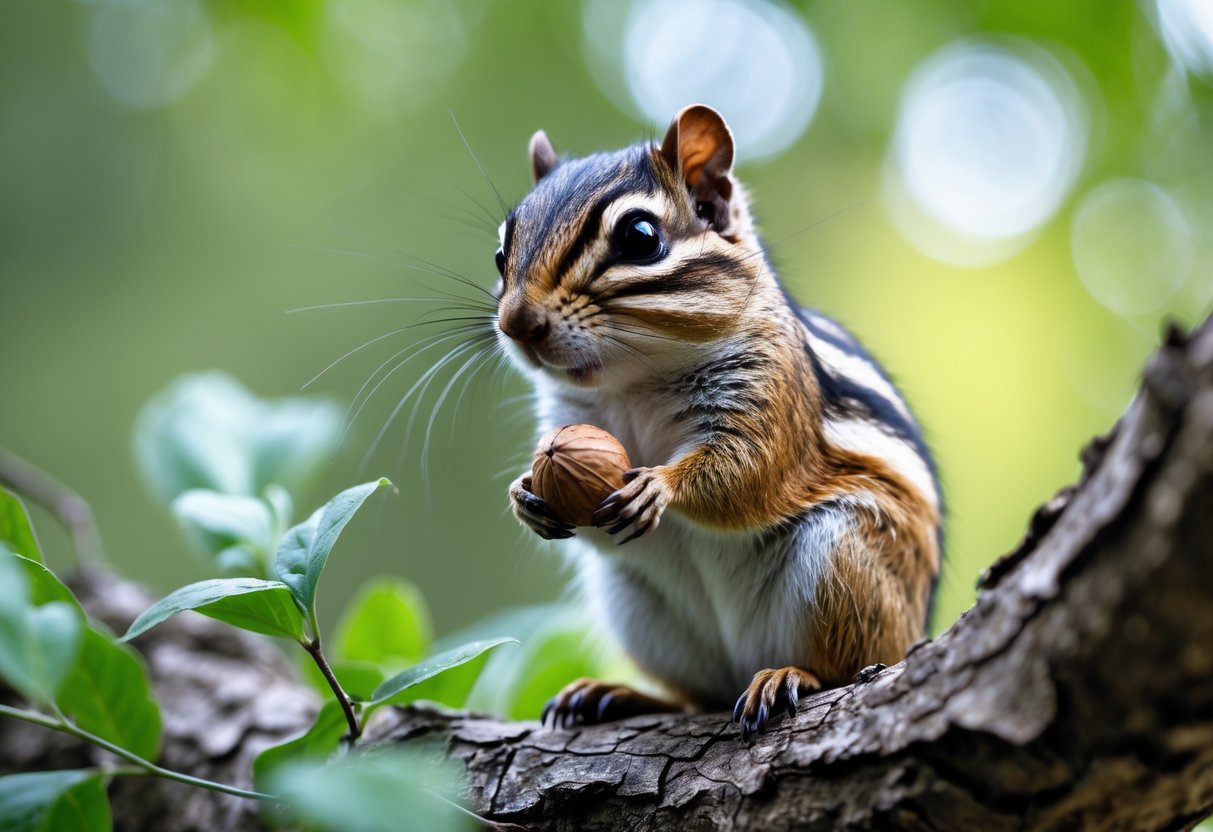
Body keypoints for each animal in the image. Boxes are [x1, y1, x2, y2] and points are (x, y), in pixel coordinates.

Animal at [495, 104, 942, 739]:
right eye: (500, 254)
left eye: (639, 237)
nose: (515, 324)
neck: (632, 382)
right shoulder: (567, 419)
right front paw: (524, 495)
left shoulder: (771, 394)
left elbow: (747, 472)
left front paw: (661, 485)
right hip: (636, 608)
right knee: (696, 696)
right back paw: (619, 696)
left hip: (844, 564)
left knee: (843, 666)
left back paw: (787, 675)